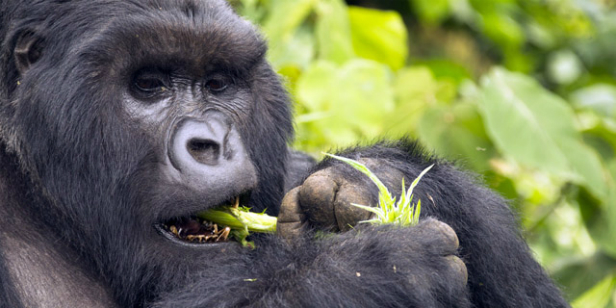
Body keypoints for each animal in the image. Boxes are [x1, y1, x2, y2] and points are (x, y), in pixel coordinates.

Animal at [0, 0, 568, 308]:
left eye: (218, 83)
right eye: (148, 85)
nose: (212, 143)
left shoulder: (287, 167)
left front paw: (380, 182)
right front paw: (369, 273)